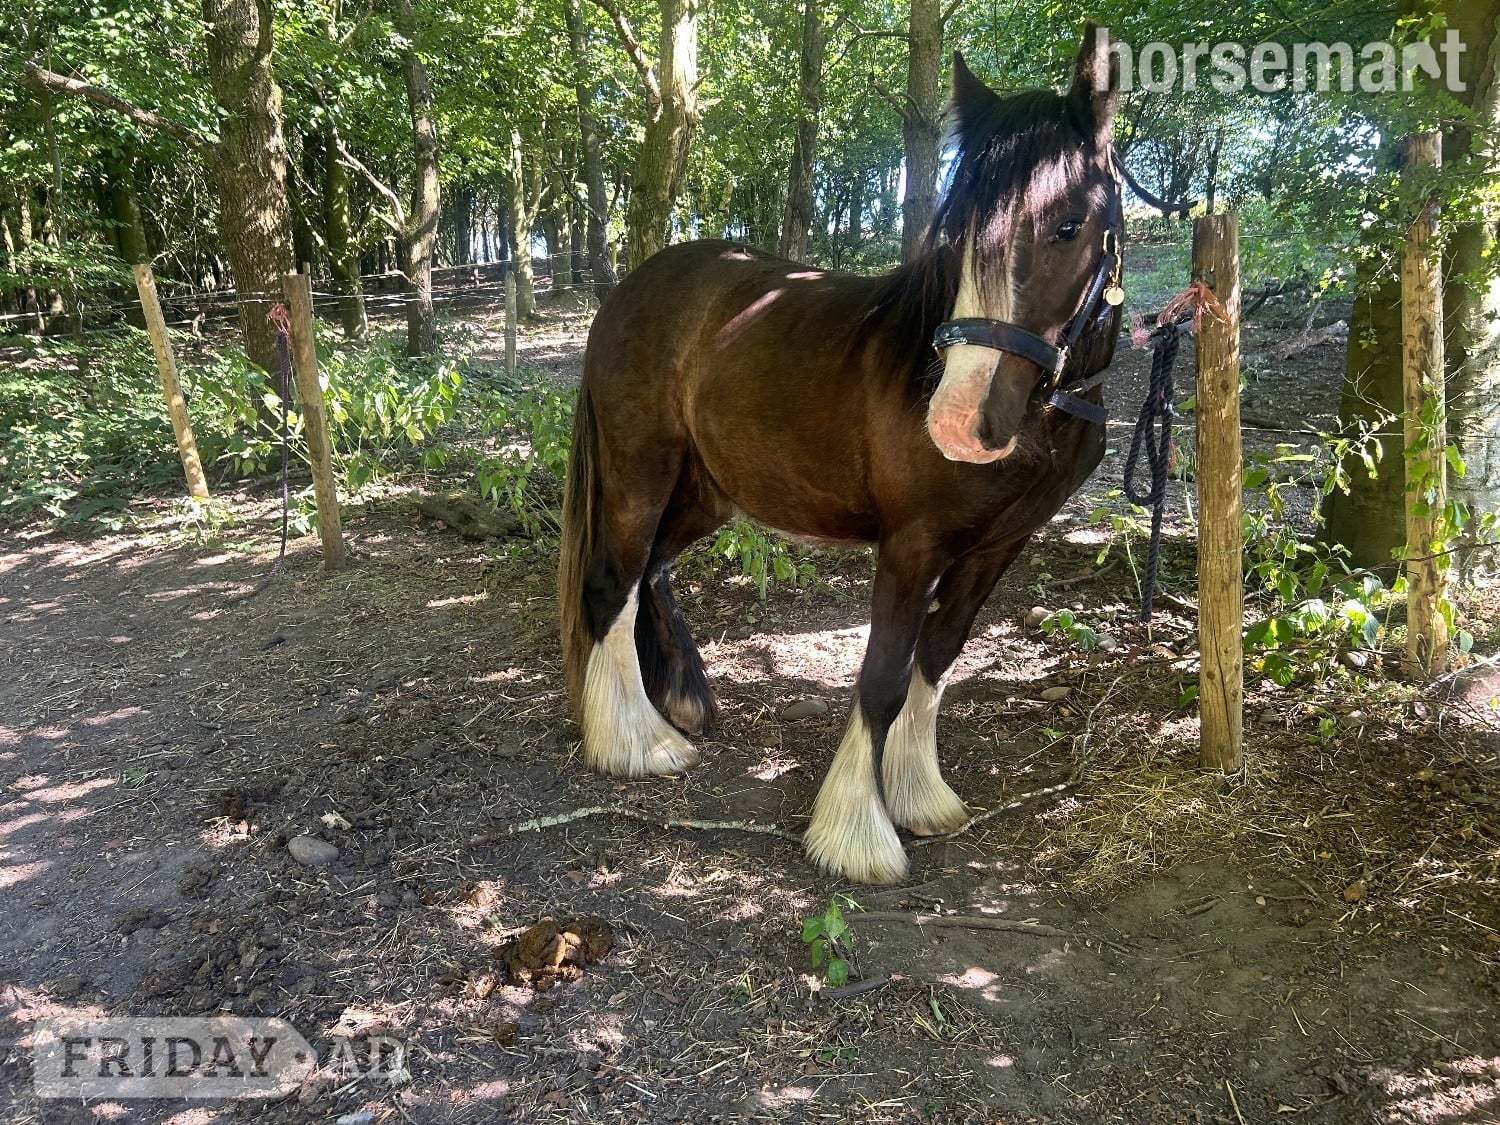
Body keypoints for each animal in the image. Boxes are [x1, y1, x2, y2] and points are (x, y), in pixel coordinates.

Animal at [558, 27, 1126, 885]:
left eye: (1067, 226)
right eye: (960, 231)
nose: (959, 422)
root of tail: (632, 287)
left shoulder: (998, 545)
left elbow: (938, 657)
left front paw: (921, 796)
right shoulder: (913, 543)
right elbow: (884, 677)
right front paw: (857, 831)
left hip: (706, 489)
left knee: (651, 569)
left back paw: (680, 701)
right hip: (639, 468)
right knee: (611, 584)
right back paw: (637, 742)